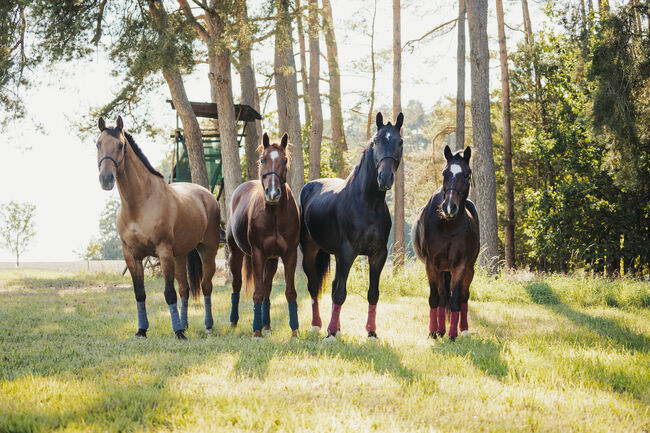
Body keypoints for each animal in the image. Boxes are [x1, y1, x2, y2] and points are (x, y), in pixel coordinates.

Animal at [94, 116, 220, 340]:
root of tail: (207, 195)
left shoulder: (163, 252)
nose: (106, 179)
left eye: (120, 145)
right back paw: (185, 324)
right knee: (185, 289)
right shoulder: (131, 255)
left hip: (207, 251)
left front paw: (177, 333)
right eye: (98, 144)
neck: (139, 204)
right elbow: (140, 293)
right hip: (180, 255)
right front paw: (142, 330)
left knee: (206, 286)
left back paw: (207, 325)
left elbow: (169, 294)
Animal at [227, 132, 300, 338]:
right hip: (236, 254)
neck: (274, 214)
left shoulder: (289, 254)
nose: (273, 193)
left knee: (267, 288)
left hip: (272, 260)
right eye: (262, 159)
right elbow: (257, 292)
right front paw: (256, 331)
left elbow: (289, 292)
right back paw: (234, 322)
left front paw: (295, 331)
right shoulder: (258, 254)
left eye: (285, 160)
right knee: (237, 285)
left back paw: (266, 324)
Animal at [298, 111, 400, 340]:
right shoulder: (347, 253)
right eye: (376, 142)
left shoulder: (378, 255)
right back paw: (317, 326)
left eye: (400, 142)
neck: (368, 204)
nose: (385, 178)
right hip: (309, 251)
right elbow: (340, 294)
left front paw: (371, 333)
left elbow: (372, 293)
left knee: (332, 285)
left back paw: (335, 327)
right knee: (313, 286)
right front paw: (330, 336)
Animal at [412, 146, 478, 340]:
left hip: (468, 270)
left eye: (467, 174)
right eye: (444, 173)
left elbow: (455, 300)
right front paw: (433, 332)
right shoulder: (431, 265)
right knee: (442, 297)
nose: (449, 207)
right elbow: (435, 298)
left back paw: (463, 330)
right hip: (441, 270)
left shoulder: (460, 266)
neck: (447, 225)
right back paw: (440, 329)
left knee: (463, 297)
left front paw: (453, 334)